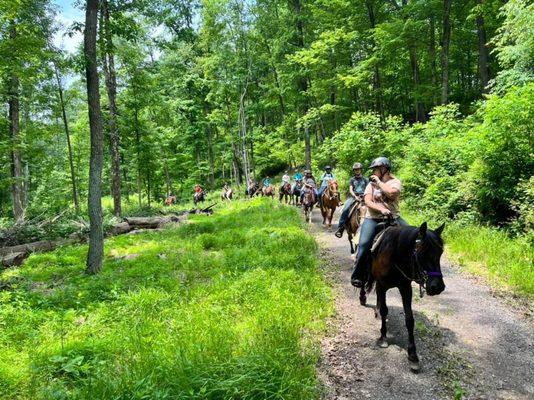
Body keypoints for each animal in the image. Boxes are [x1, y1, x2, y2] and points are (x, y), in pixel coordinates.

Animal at [368, 220, 448, 370]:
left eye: (440, 253)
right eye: (422, 253)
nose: (437, 287)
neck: (393, 255)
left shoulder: (405, 288)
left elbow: (410, 319)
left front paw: (413, 355)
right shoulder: (382, 286)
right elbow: (385, 310)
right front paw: (383, 337)